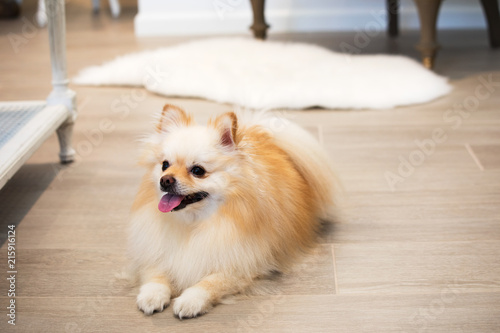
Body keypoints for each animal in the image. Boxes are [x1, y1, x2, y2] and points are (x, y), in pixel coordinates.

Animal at [129, 105, 336, 318]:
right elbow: (155, 273)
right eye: (164, 165)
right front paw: (152, 295)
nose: (165, 180)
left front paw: (190, 300)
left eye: (198, 171)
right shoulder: (155, 251)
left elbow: (210, 283)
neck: (193, 223)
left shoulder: (241, 265)